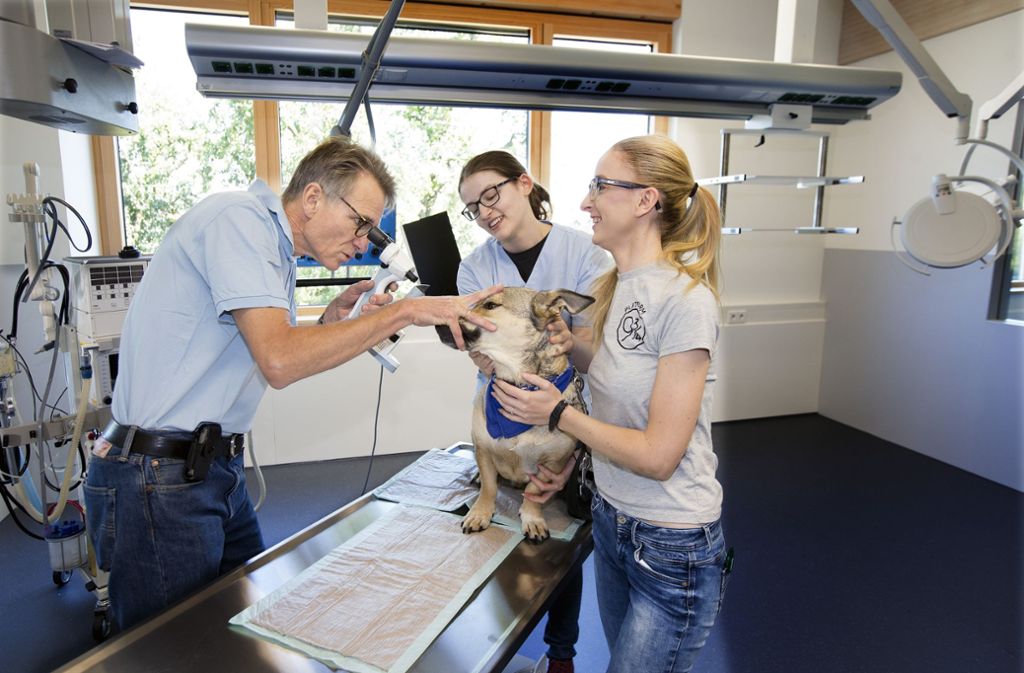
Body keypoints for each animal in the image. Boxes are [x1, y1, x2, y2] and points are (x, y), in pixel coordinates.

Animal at [436, 286, 598, 540]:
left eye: (491, 305)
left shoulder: (553, 463)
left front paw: (532, 518)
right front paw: (480, 512)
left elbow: (534, 492)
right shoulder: (483, 449)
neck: (518, 383)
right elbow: (489, 487)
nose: (438, 323)